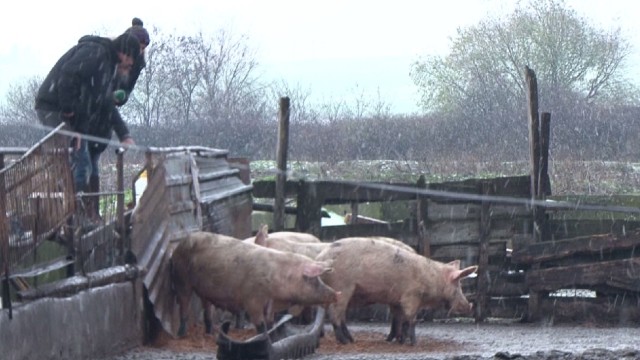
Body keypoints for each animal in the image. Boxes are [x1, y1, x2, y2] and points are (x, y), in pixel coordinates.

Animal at [170, 229, 340, 336]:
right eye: (314, 280)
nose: (337, 294)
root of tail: (181, 242)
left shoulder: (271, 302)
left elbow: (270, 322)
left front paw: (274, 335)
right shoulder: (252, 300)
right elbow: (260, 324)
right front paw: (263, 337)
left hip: (205, 291)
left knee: (207, 309)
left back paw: (210, 333)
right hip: (181, 277)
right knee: (184, 304)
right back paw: (181, 334)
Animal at [316, 238, 476, 344]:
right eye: (458, 286)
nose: (468, 306)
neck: (433, 279)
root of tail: (320, 259)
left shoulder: (396, 300)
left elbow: (399, 319)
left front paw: (397, 340)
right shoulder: (411, 296)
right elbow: (411, 319)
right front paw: (413, 343)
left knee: (340, 316)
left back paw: (351, 340)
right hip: (342, 287)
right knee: (335, 315)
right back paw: (345, 342)